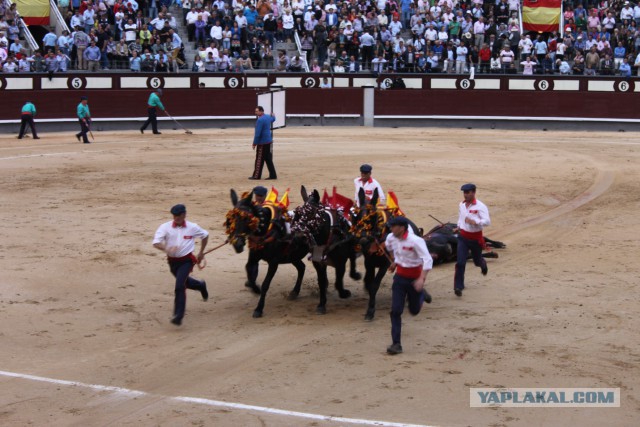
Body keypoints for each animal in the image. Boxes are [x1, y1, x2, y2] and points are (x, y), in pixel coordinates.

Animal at [226, 190, 308, 318]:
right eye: (230, 219)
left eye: (246, 218)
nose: (237, 244)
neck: (266, 229)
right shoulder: (254, 258)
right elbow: (249, 273)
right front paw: (256, 290)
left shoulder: (274, 262)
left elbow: (265, 284)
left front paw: (259, 309)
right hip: (293, 256)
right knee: (302, 267)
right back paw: (294, 292)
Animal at [290, 186, 360, 314]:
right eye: (297, 214)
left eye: (311, 213)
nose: (298, 237)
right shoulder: (318, 263)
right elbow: (321, 282)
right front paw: (322, 304)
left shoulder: (340, 263)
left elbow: (338, 283)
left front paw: (344, 293)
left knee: (352, 259)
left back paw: (355, 275)